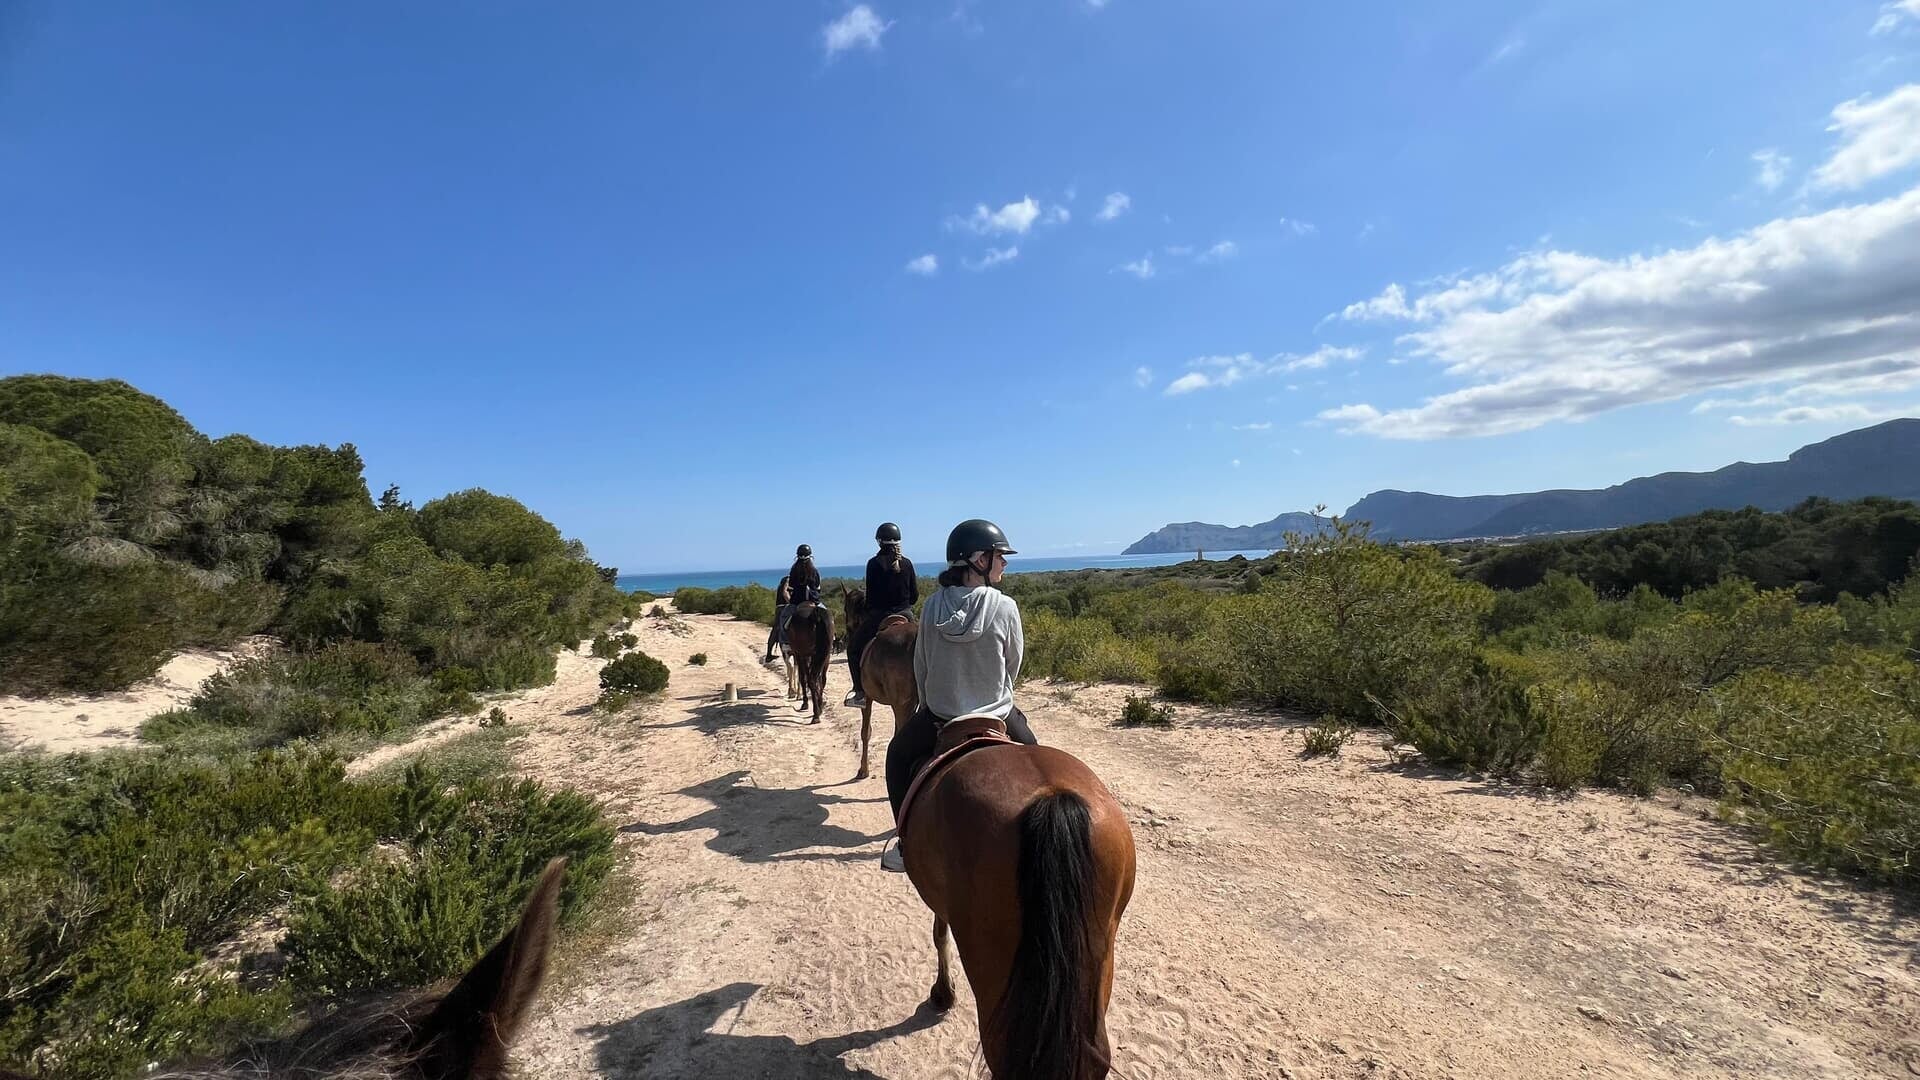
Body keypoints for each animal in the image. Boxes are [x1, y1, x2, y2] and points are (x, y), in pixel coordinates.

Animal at [841, 585, 920, 780]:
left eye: (846, 608)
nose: (848, 631)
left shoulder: (868, 698)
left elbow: (865, 732)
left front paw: (863, 770)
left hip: (902, 704)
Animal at [900, 723, 1137, 1079]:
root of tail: (1051, 798)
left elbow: (939, 935)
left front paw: (942, 994)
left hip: (990, 961)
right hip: (1097, 952)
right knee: (1094, 1054)